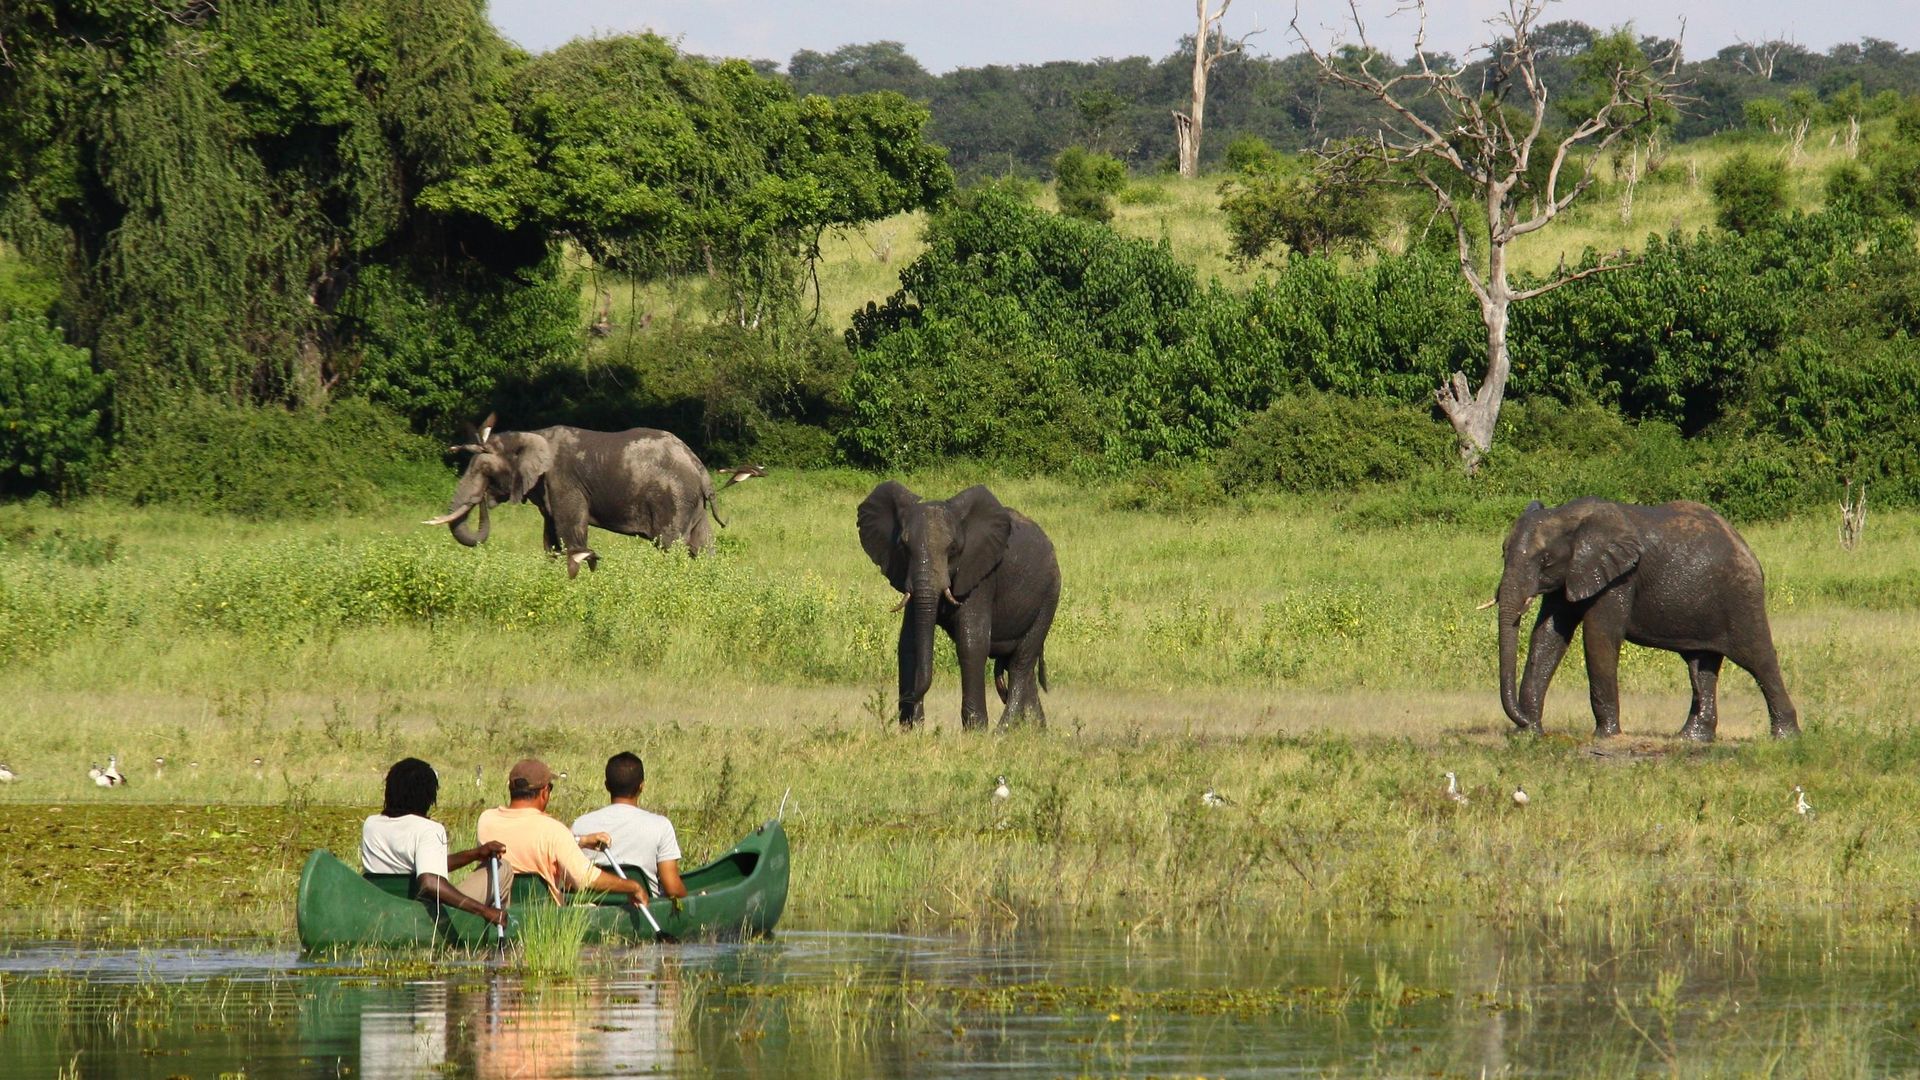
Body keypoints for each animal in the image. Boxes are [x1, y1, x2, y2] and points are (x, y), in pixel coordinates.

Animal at [422, 417, 721, 576]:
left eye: (484, 470)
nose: (481, 500)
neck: (530, 435)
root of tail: (700, 468)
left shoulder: (564, 482)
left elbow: (570, 532)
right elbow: (551, 536)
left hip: (674, 498)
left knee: (671, 545)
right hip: (691, 504)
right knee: (703, 545)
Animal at [860, 480, 1067, 726]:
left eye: (952, 549)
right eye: (903, 546)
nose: (907, 702)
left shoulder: (981, 575)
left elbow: (972, 643)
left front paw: (975, 730)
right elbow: (909, 643)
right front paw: (911, 729)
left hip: (1050, 595)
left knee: (1020, 664)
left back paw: (1003, 731)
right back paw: (1033, 731)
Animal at [1497, 495, 1797, 737]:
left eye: (1545, 560)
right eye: (1503, 553)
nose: (1521, 721)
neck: (1568, 516)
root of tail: (1745, 546)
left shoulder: (1621, 576)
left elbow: (1599, 635)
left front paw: (1605, 736)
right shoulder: (1572, 574)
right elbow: (1548, 636)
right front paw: (1528, 735)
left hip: (1741, 598)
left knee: (1758, 658)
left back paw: (1785, 737)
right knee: (1700, 664)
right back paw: (1690, 739)